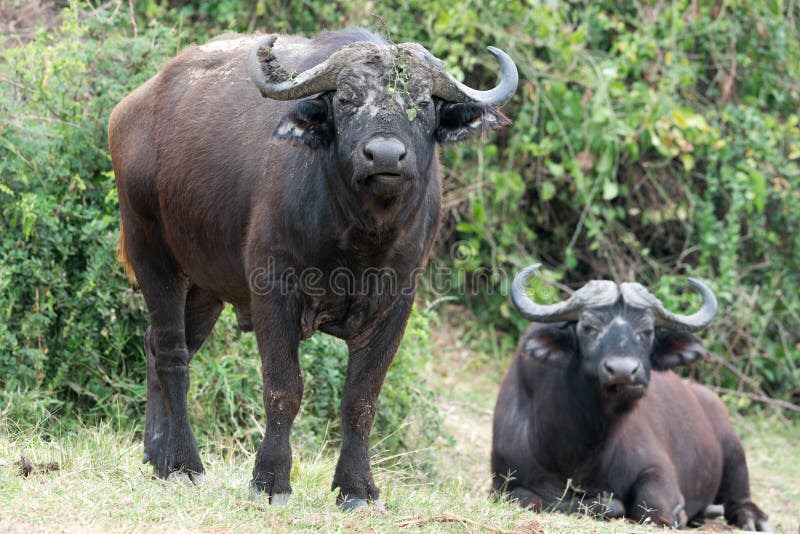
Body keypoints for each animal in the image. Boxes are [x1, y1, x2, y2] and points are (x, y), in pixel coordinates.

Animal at [108, 30, 520, 510]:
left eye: (422, 103)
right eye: (346, 99)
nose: (384, 156)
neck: (359, 235)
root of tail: (129, 110)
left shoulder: (397, 302)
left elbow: (362, 398)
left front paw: (357, 488)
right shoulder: (273, 291)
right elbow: (284, 388)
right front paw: (270, 480)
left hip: (206, 287)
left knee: (156, 345)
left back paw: (157, 455)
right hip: (152, 254)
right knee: (173, 356)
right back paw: (185, 464)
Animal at [490, 264, 772, 532]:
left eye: (646, 331)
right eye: (589, 328)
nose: (623, 371)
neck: (582, 447)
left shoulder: (657, 469)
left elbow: (650, 505)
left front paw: (678, 513)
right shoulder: (503, 483)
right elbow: (536, 497)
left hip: (734, 449)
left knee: (740, 498)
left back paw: (750, 518)